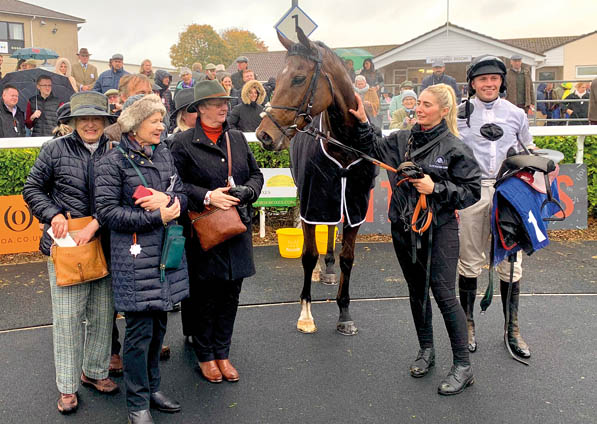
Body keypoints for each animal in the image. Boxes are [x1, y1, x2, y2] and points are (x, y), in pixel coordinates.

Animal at [256, 28, 378, 336]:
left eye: (298, 78)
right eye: (277, 79)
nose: (263, 135)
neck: (344, 145)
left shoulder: (355, 203)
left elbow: (348, 257)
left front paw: (344, 312)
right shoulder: (313, 200)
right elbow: (308, 254)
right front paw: (306, 313)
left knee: (333, 227)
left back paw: (330, 267)